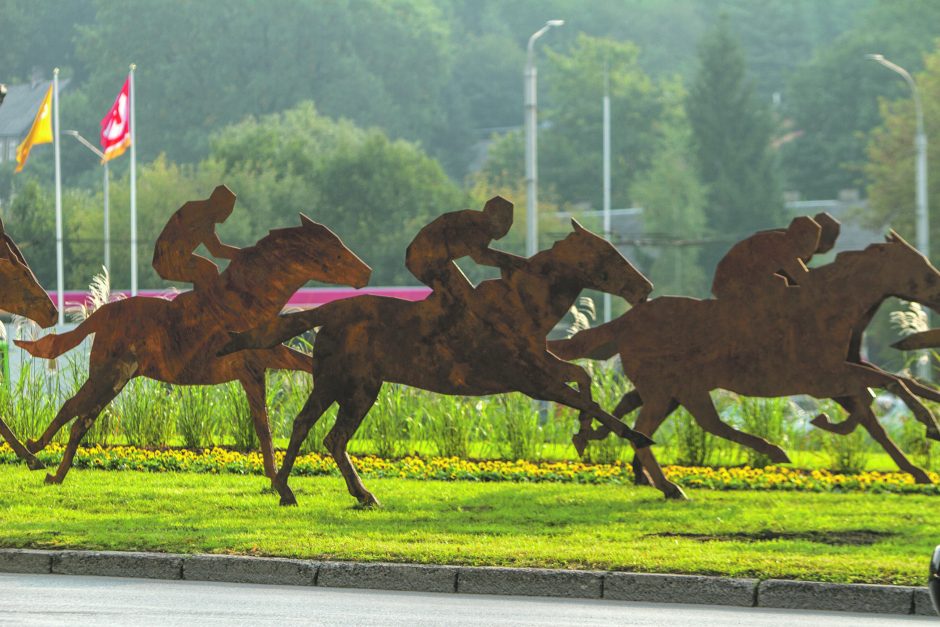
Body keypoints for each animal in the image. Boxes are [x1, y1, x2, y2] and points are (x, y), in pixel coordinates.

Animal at [16, 216, 370, 486]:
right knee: (73, 411)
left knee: (79, 416)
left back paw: (49, 466)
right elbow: (264, 429)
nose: (366, 272)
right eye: (334, 251)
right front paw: (275, 483)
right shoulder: (251, 369)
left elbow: (291, 385)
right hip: (107, 376)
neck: (248, 301)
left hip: (115, 380)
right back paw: (40, 456)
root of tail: (102, 313)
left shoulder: (267, 359)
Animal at [221, 220, 656, 506]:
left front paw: (585, 434)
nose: (646, 287)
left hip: (357, 386)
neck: (523, 307)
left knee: (326, 435)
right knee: (313, 429)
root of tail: (331, 310)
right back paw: (290, 491)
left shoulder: (540, 366)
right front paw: (633, 436)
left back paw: (344, 493)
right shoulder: (530, 380)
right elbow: (584, 397)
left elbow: (583, 378)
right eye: (609, 255)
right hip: (343, 384)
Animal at [552, 233, 940, 498]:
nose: (939, 291)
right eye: (925, 273)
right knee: (670, 427)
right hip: (668, 388)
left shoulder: (840, 373)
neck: (830, 307)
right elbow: (885, 389)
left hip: (678, 389)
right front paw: (928, 424)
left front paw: (917, 468)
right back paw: (673, 484)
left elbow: (879, 403)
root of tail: (627, 321)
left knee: (672, 422)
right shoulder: (822, 377)